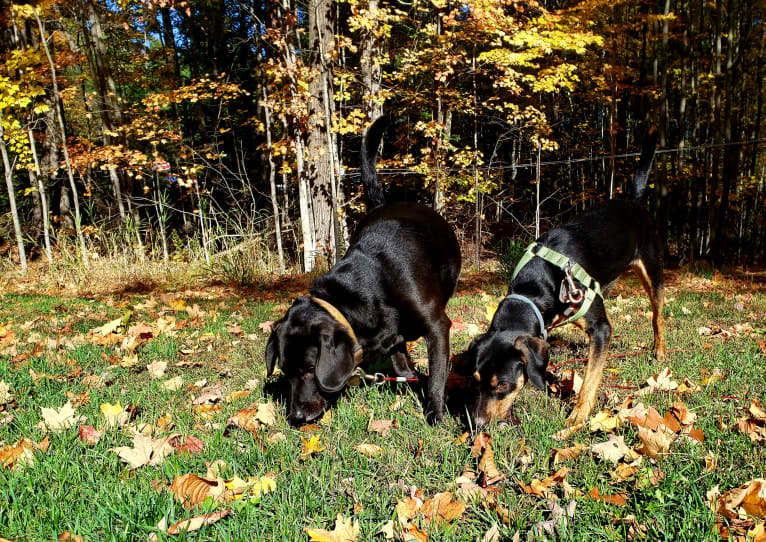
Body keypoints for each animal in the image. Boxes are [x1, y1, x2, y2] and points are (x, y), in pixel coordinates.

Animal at [268, 117, 462, 428]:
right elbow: (401, 364)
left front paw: (434, 412)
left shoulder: (437, 327)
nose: (296, 416)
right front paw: (408, 386)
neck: (367, 287)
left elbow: (437, 376)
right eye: (284, 371)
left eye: (310, 368)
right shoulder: (391, 337)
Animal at [464, 133, 668, 430]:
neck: (537, 286)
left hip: (653, 270)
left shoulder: (601, 328)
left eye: (502, 384)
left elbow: (590, 381)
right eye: (476, 380)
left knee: (657, 316)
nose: (476, 425)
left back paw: (660, 350)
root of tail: (634, 203)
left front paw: (578, 417)